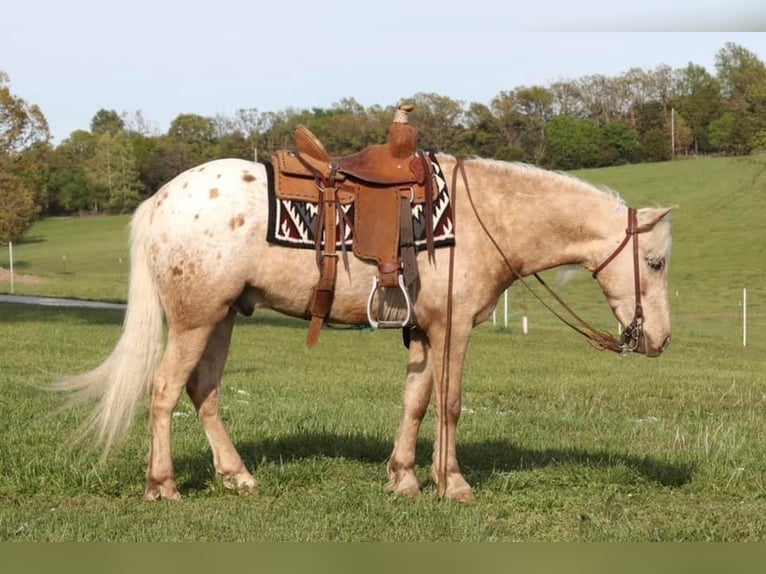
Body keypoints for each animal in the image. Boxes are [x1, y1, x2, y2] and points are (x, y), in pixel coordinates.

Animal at [57, 155, 676, 502]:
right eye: (656, 263)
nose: (660, 338)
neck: (485, 219)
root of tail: (160, 200)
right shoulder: (454, 329)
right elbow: (450, 403)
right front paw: (453, 484)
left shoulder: (425, 331)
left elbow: (416, 402)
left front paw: (404, 478)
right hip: (195, 318)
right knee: (164, 391)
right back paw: (163, 485)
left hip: (223, 317)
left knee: (202, 391)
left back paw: (237, 477)